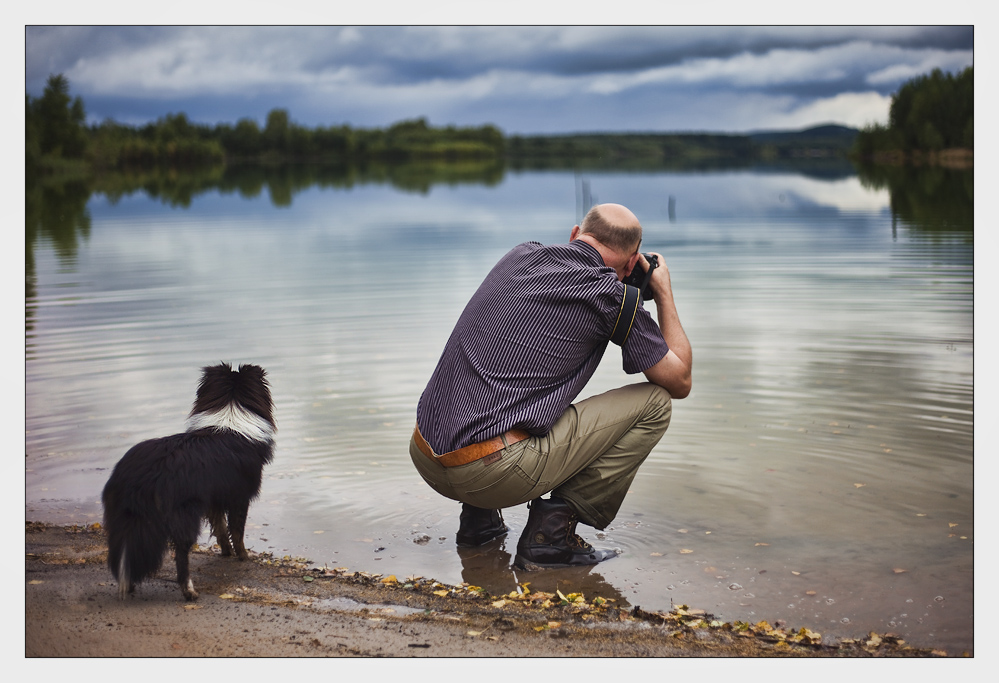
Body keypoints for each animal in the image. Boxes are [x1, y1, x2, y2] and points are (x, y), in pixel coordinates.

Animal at [100, 364, 276, 600]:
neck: (229, 418)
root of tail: (143, 474)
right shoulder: (239, 497)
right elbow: (237, 531)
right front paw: (243, 556)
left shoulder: (214, 498)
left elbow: (221, 528)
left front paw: (226, 552)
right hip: (184, 515)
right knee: (181, 554)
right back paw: (189, 590)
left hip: (122, 516)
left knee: (124, 550)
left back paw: (127, 584)